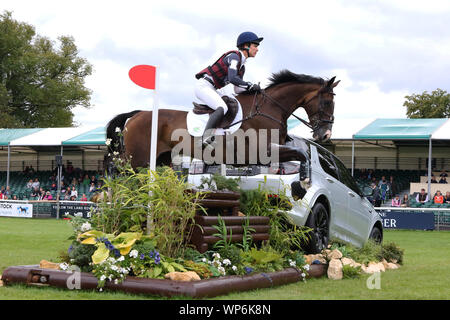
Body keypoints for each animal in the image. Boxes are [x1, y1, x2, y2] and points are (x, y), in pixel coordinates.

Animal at [105, 69, 338, 170]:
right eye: (327, 102)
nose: (325, 135)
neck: (269, 108)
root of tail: (137, 114)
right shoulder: (263, 151)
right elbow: (301, 154)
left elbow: (298, 155)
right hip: (137, 160)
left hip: (160, 159)